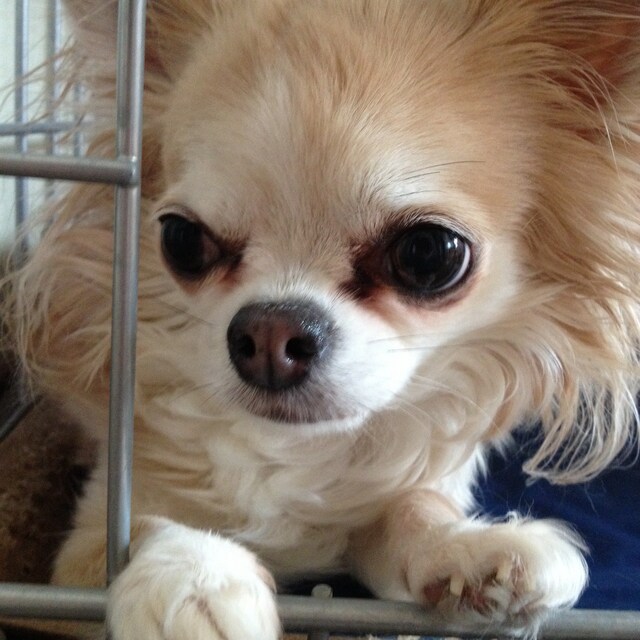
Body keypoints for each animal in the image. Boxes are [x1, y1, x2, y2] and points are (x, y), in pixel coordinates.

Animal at [3, 1, 639, 638]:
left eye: (429, 254)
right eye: (181, 239)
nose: (270, 333)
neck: (293, 448)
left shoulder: (390, 497)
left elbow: (412, 507)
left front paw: (465, 546)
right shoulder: (74, 566)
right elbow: (142, 525)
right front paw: (196, 576)